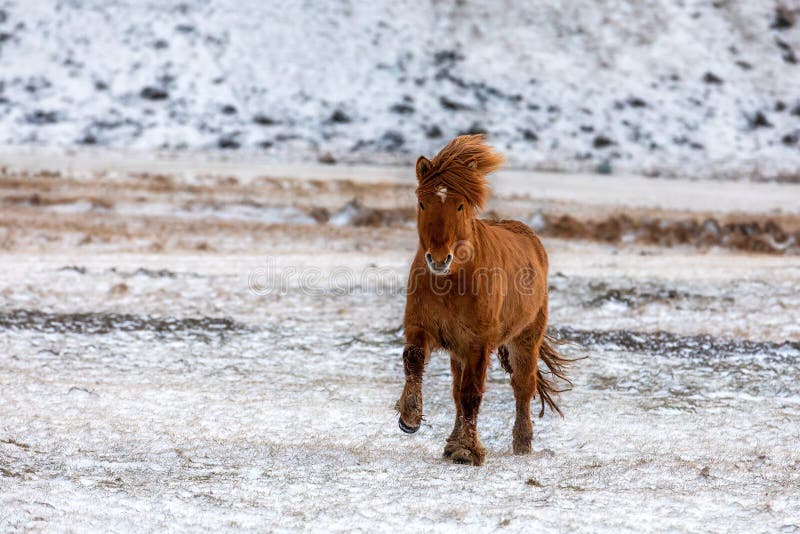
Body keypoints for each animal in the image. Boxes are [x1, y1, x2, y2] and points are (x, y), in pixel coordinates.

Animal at [394, 135, 568, 468]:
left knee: (522, 388)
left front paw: (467, 450)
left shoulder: (477, 343)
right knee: (456, 392)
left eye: (460, 205)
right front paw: (410, 416)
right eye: (422, 203)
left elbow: (472, 394)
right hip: (459, 349)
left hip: (525, 339)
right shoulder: (421, 326)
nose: (439, 259)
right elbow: (414, 359)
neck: (451, 281)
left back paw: (522, 444)